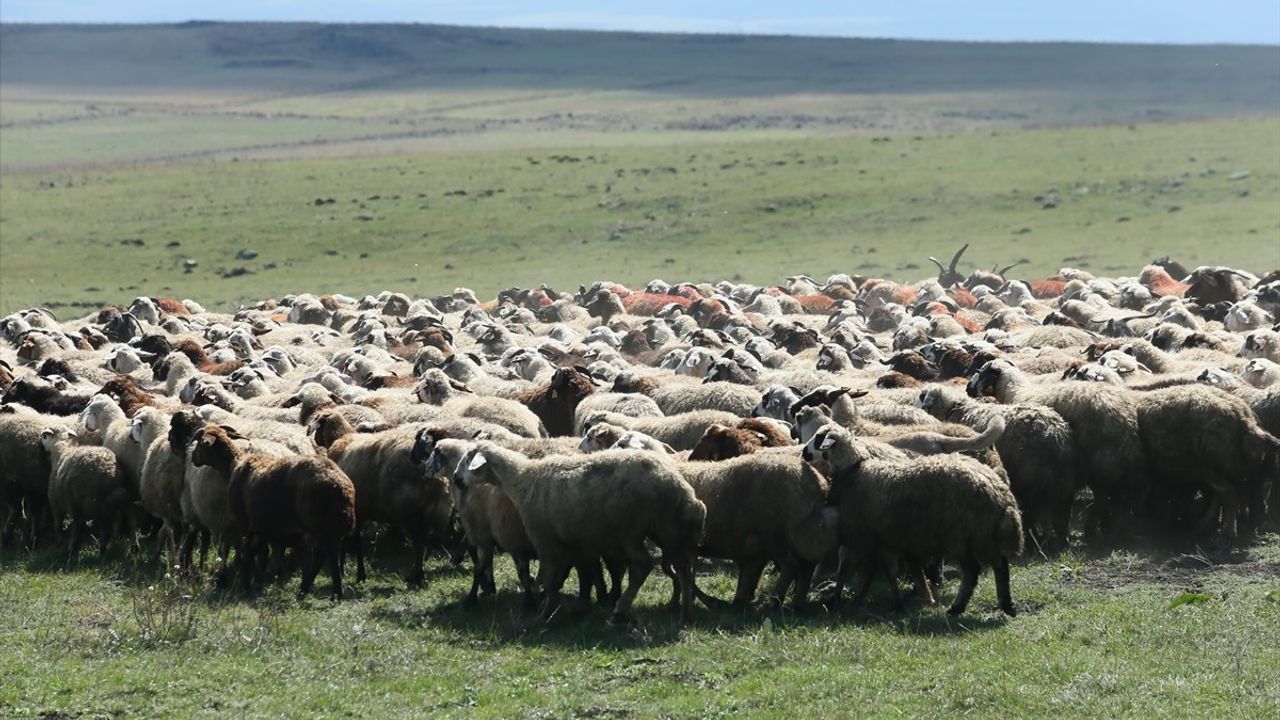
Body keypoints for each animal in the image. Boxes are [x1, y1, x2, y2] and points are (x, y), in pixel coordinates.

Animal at [41, 422, 133, 558]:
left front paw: (59, 543)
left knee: (86, 527)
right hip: (114, 504)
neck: (61, 451)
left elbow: (59, 524)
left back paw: (77, 549)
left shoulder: (55, 501)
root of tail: (110, 473)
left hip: (86, 502)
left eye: (44, 436)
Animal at [186, 422, 355, 597]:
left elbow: (248, 552)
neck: (234, 465)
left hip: (318, 526)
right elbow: (261, 551)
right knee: (330, 556)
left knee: (322, 556)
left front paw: (246, 583)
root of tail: (342, 488)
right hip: (332, 528)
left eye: (199, 443)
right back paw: (331, 593)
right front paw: (259, 579)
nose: (193, 459)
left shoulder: (244, 521)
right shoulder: (261, 526)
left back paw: (307, 590)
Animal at [307, 407, 453, 586]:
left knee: (419, 545)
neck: (342, 437)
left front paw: (350, 572)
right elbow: (352, 542)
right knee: (424, 543)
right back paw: (419, 575)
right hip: (433, 511)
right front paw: (353, 572)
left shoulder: (350, 511)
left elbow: (354, 544)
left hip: (409, 512)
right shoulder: (358, 512)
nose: (314, 439)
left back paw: (415, 577)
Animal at [437, 440, 701, 620]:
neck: (523, 479)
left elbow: (551, 580)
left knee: (644, 567)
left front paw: (544, 612)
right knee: (684, 569)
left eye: (468, 461)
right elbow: (562, 578)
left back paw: (621, 609)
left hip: (631, 531)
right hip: (666, 530)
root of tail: (682, 488)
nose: (456, 478)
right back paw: (685, 612)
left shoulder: (546, 541)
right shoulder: (571, 544)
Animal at [803, 422, 1024, 614]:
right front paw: (891, 601)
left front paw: (840, 599)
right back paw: (1006, 605)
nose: (804, 452)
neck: (855, 471)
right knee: (1000, 565)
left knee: (973, 571)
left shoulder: (861, 535)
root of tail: (1001, 494)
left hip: (963, 535)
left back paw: (957, 607)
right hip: (983, 535)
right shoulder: (882, 538)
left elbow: (850, 571)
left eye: (819, 437)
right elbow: (882, 571)